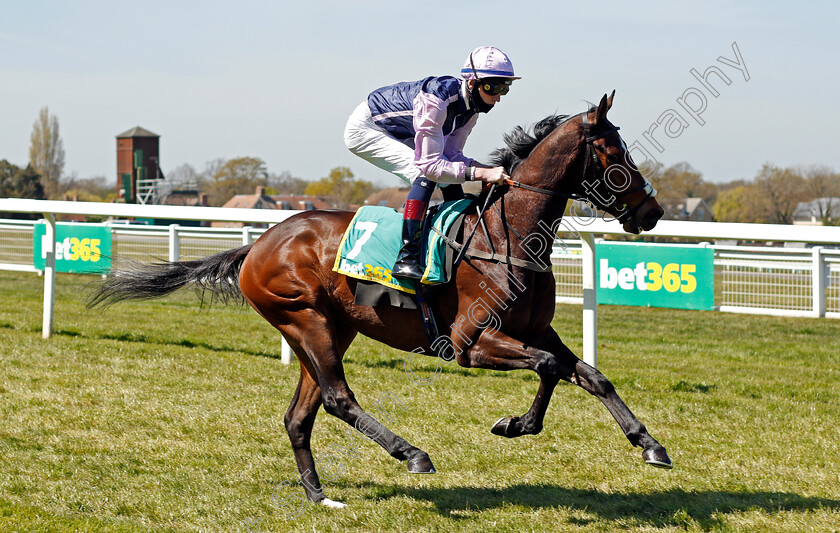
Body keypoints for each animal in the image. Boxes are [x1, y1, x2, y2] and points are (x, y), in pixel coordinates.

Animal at [88, 91, 672, 508]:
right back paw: (411, 453)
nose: (652, 211)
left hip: (330, 328)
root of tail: (258, 243)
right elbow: (549, 366)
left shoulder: (533, 329)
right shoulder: (471, 343)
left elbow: (590, 375)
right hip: (306, 321)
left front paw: (649, 444)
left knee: (300, 415)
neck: (508, 236)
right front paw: (515, 425)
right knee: (338, 399)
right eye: (613, 152)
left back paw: (321, 497)